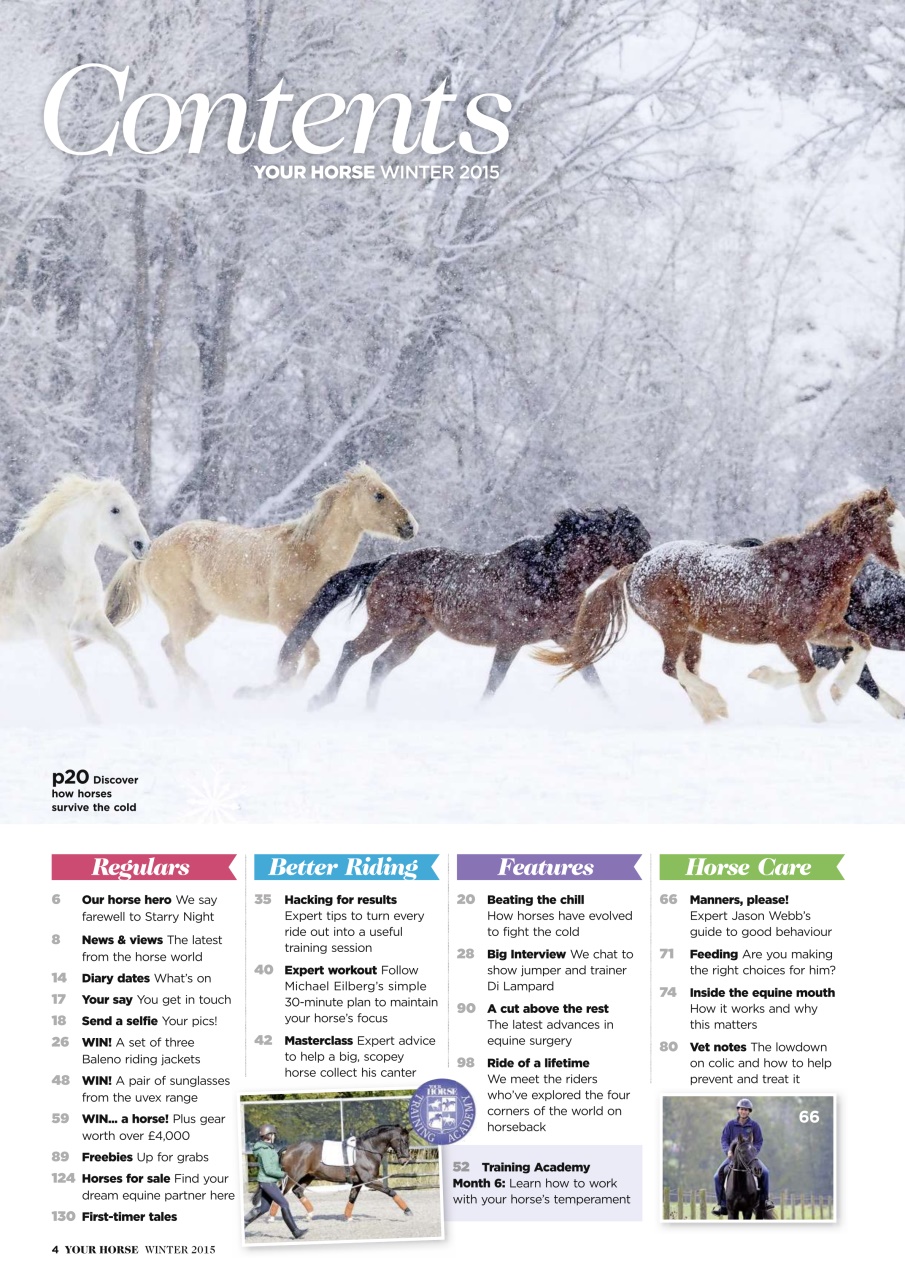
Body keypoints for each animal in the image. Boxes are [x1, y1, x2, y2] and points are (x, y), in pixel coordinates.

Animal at [0, 474, 154, 722]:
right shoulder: (53, 631)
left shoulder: (88, 621)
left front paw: (149, 700)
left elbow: (126, 647)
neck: (64, 566)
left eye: (135, 508)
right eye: (115, 509)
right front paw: (95, 721)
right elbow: (77, 679)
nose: (143, 545)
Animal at [102, 463, 416, 698]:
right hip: (182, 610)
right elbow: (303, 659)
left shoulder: (306, 618)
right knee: (176, 651)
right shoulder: (284, 616)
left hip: (201, 616)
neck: (308, 554)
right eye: (378, 495)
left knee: (170, 648)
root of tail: (148, 550)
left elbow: (301, 658)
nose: (411, 526)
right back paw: (205, 695)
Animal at [237, 506, 651, 708]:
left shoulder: (564, 635)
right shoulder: (511, 640)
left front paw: (611, 709)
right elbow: (494, 681)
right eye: (632, 537)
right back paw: (322, 700)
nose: (650, 562)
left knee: (380, 665)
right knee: (352, 650)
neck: (546, 574)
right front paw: (478, 713)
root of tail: (387, 561)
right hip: (387, 623)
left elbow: (590, 674)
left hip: (416, 633)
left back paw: (371, 710)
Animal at [277, 1124, 413, 1222]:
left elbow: (352, 1198)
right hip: (292, 1177)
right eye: (404, 1141)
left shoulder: (358, 1182)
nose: (405, 1160)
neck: (367, 1150)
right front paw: (407, 1210)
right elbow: (390, 1191)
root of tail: (289, 1148)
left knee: (297, 1191)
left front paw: (348, 1217)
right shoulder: (369, 1181)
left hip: (307, 1177)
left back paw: (309, 1215)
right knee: (281, 1193)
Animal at [536, 488, 904, 724]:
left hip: (692, 633)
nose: (903, 564)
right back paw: (716, 703)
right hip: (672, 626)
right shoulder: (789, 637)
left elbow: (860, 646)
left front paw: (837, 693)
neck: (811, 569)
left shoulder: (824, 629)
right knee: (672, 668)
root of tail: (637, 566)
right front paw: (817, 710)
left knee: (684, 669)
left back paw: (713, 714)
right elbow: (809, 673)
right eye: (890, 523)